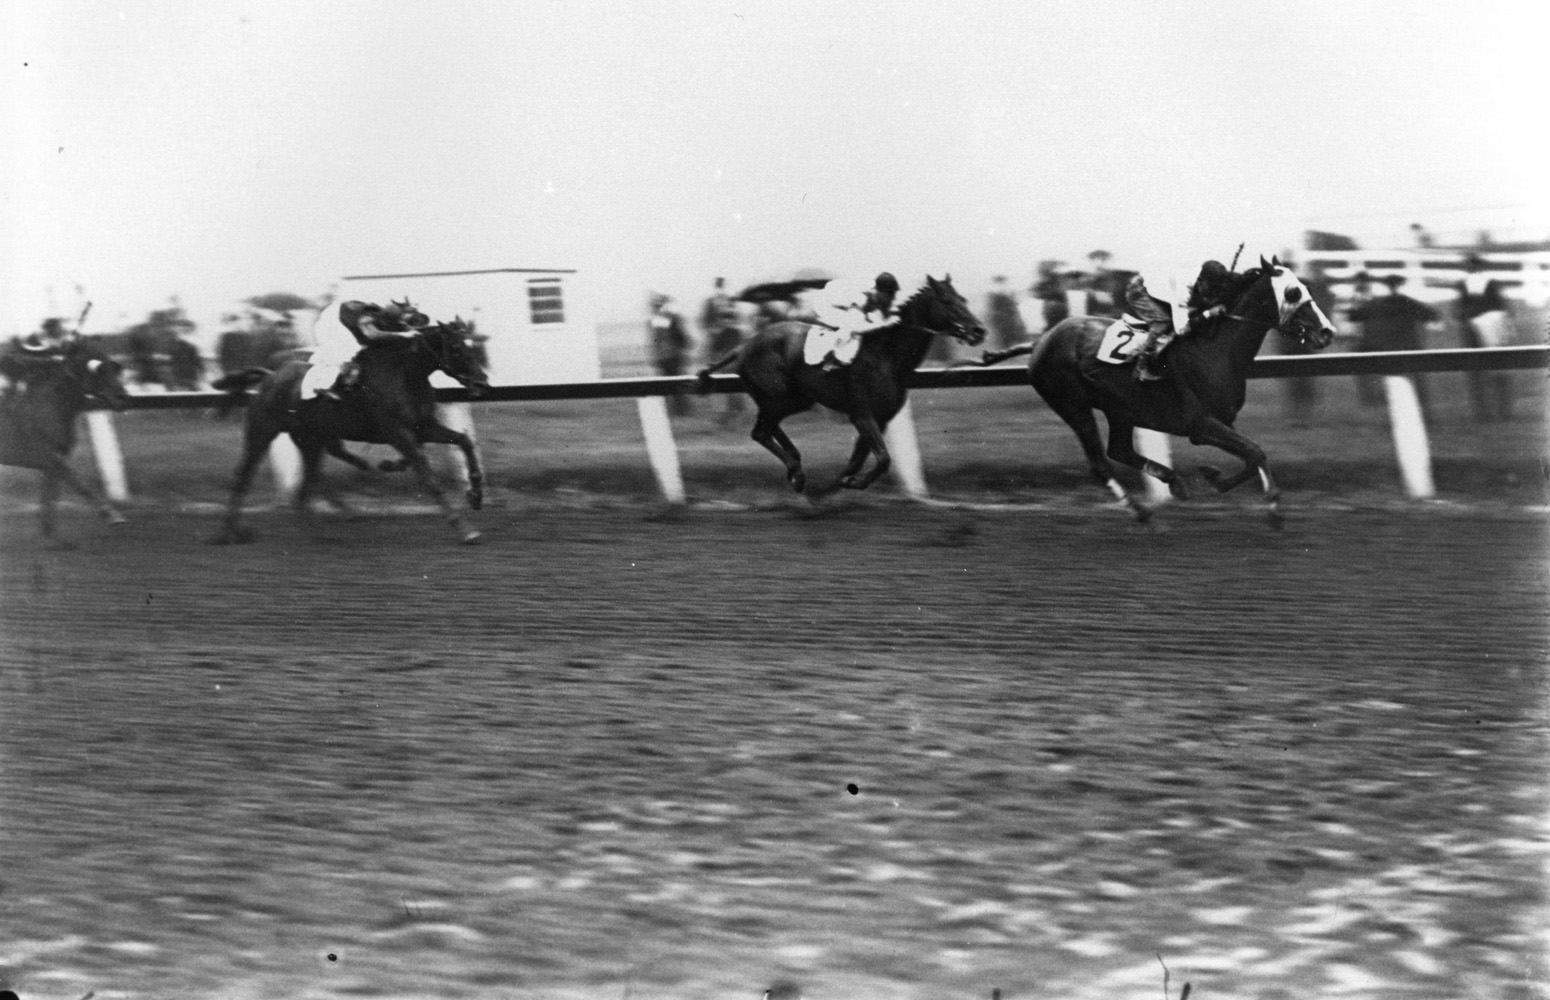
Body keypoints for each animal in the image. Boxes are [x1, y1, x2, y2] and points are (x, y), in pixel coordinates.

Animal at [0, 341, 130, 545]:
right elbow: (81, 485)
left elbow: (49, 497)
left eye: (114, 367)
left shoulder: (51, 462)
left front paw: (52, 539)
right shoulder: (50, 456)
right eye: (98, 370)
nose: (123, 397)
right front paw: (114, 516)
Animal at [212, 317, 489, 545]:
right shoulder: (399, 433)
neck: (404, 374)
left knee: (308, 485)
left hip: (309, 440)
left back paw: (320, 531)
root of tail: (269, 375)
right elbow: (428, 476)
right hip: (262, 432)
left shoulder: (424, 427)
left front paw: (476, 494)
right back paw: (229, 533)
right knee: (243, 476)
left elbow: (464, 441)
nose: (482, 382)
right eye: (457, 348)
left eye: (472, 346)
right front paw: (465, 529)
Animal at [700, 274, 985, 493]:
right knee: (760, 432)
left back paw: (796, 464)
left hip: (792, 399)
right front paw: (853, 483)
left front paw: (843, 481)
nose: (979, 330)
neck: (887, 356)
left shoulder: (881, 418)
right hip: (782, 397)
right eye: (947, 300)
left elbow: (859, 459)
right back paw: (796, 471)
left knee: (769, 428)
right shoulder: (862, 414)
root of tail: (743, 346)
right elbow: (883, 458)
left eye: (963, 299)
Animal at [985, 254, 1339, 527]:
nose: (1328, 331)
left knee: (1119, 450)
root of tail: (1040, 341)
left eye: (1305, 287)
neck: (1215, 351)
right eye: (1292, 292)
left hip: (1120, 409)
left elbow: (1254, 455)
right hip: (1073, 406)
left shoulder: (1224, 421)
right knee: (1100, 463)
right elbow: (1255, 452)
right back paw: (1140, 511)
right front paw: (1263, 502)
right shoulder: (1200, 424)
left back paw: (1174, 482)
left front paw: (1221, 480)